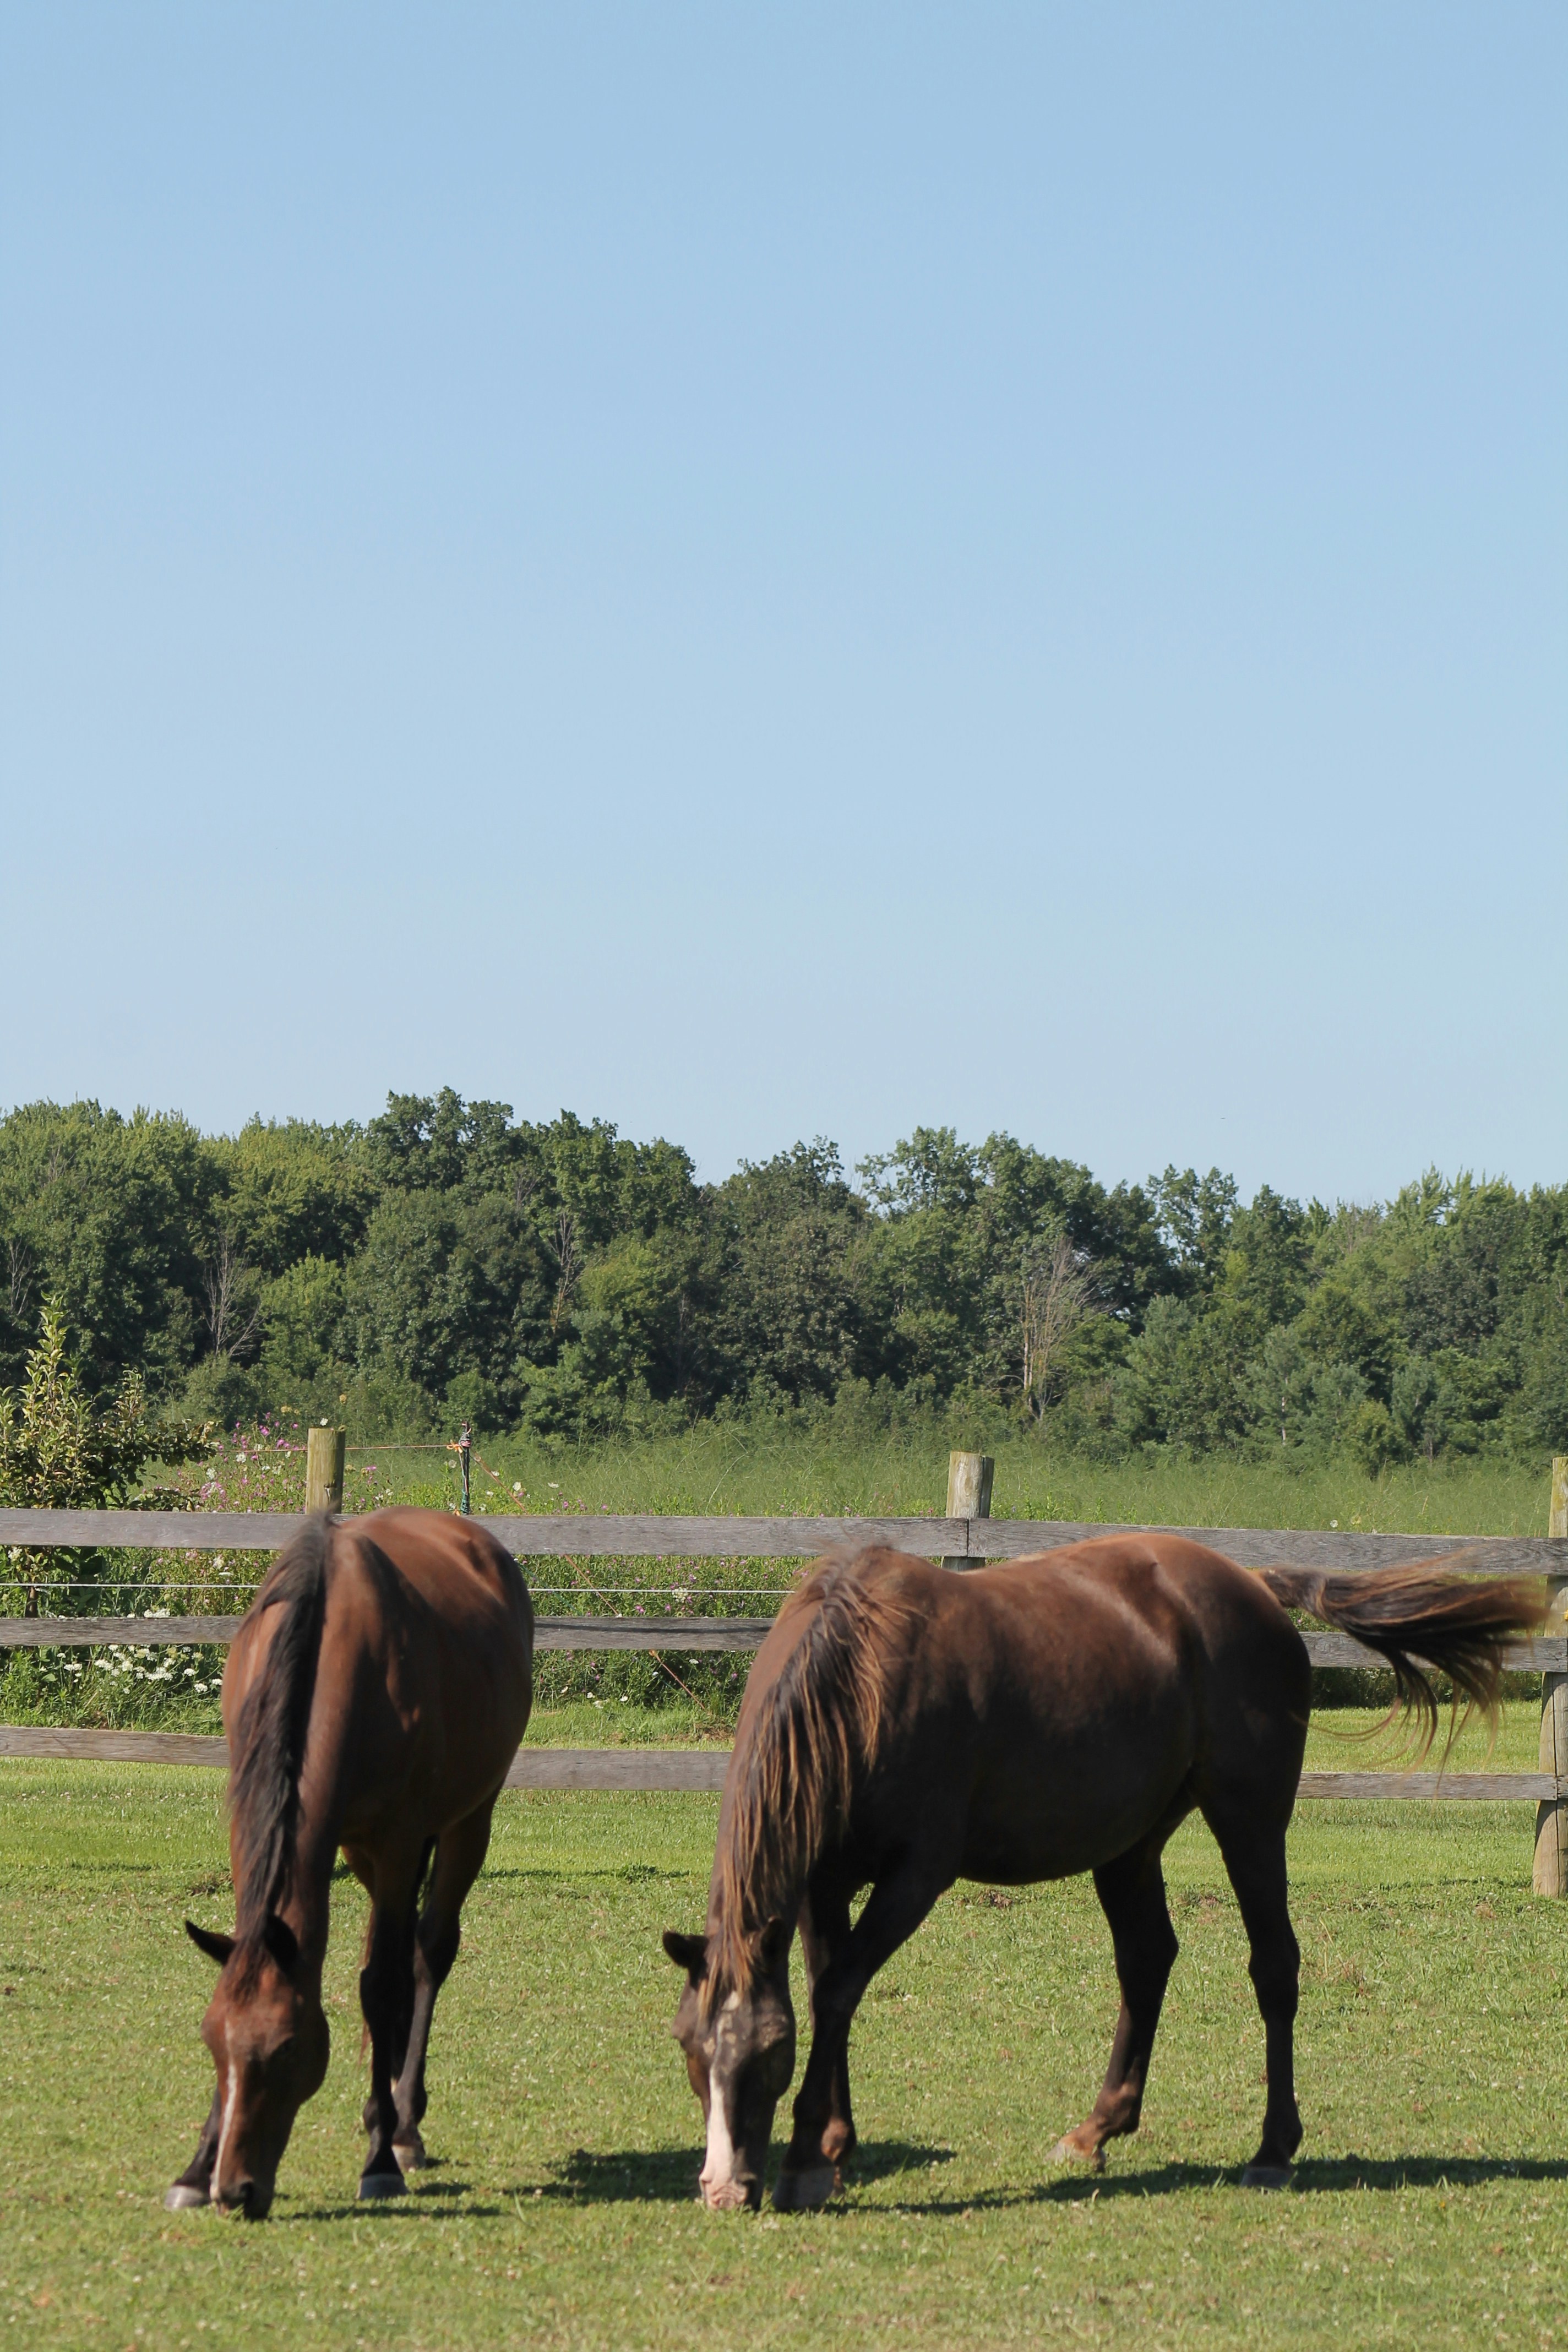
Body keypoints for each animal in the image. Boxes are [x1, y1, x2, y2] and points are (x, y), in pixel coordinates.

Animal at [165, 1506, 533, 2217]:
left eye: (287, 2050)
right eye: (211, 2041)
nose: (236, 2190)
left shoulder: (399, 1838)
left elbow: (381, 1984)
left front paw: (382, 2159)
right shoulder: (263, 1822)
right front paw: (194, 2169)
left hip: (467, 1821)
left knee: (426, 1953)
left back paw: (404, 2122)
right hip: (361, 1851)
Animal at [663, 1534, 1544, 2211]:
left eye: (769, 2055)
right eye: (689, 2049)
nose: (722, 2189)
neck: (862, 1671)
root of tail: (1252, 1584)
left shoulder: (914, 1876)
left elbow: (837, 1991)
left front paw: (808, 2159)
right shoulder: (823, 1880)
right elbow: (827, 1989)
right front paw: (836, 2146)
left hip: (1250, 1822)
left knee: (1274, 1966)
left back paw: (1272, 2149)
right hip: (1130, 1848)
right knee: (1148, 1960)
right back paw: (1097, 2128)